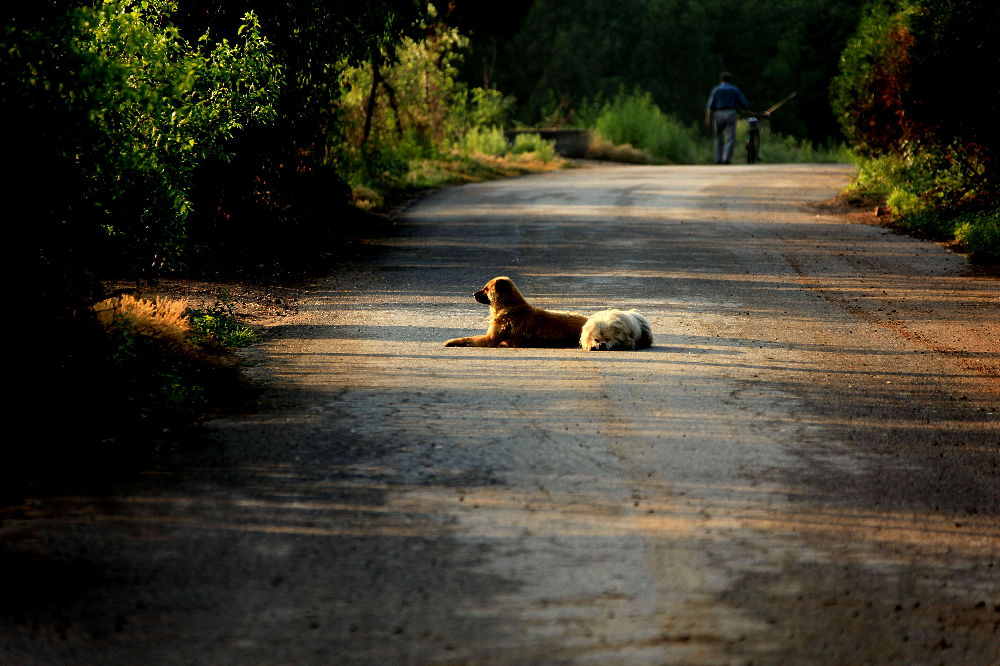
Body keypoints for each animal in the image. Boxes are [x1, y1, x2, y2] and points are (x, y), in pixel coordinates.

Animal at [444, 274, 588, 348]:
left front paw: (452, 341)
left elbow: (468, 338)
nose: (473, 294)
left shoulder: (489, 339)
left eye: (486, 289)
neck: (508, 307)